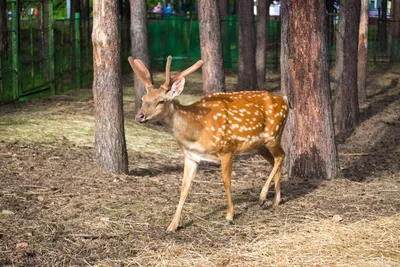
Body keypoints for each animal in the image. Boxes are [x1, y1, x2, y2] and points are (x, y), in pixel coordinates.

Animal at [130, 56, 290, 232]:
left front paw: (229, 216)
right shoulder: (191, 156)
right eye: (143, 99)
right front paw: (172, 225)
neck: (195, 132)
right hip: (260, 145)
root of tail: (285, 100)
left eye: (161, 101)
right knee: (275, 160)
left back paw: (262, 197)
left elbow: (226, 182)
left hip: (273, 135)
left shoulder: (227, 149)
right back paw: (276, 200)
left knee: (281, 156)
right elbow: (184, 188)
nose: (139, 116)